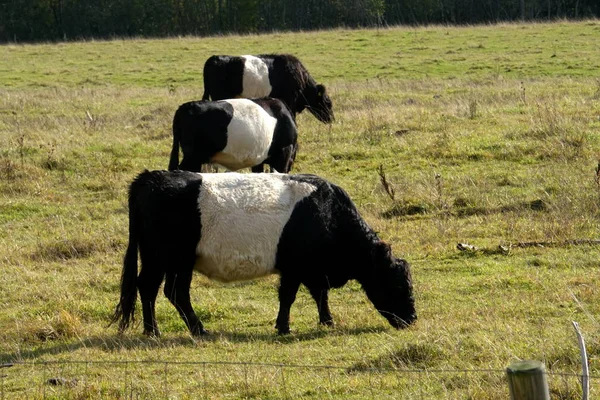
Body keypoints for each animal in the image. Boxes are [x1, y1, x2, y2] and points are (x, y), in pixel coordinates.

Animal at [110, 170, 414, 336]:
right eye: (397, 284)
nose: (412, 319)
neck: (327, 212)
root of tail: (150, 177)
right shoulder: (295, 267)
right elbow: (289, 296)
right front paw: (284, 327)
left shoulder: (312, 269)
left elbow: (320, 294)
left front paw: (327, 321)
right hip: (173, 259)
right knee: (170, 291)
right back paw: (189, 329)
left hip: (158, 258)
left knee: (151, 288)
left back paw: (155, 330)